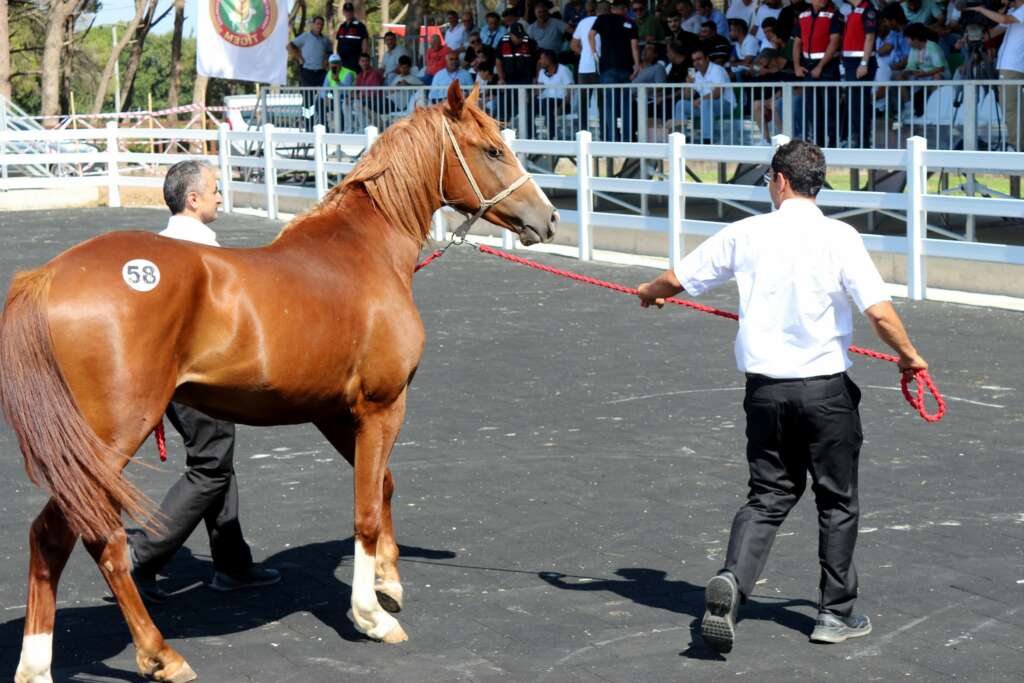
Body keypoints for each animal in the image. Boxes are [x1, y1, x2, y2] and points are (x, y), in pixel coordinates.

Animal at [0, 82, 557, 679]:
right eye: (493, 150)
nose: (548, 218)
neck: (367, 251)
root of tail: (46, 276)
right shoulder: (383, 405)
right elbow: (364, 511)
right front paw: (371, 616)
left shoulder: (333, 412)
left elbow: (382, 485)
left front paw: (389, 581)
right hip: (109, 440)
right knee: (76, 537)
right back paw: (159, 655)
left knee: (59, 540)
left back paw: (41, 663)